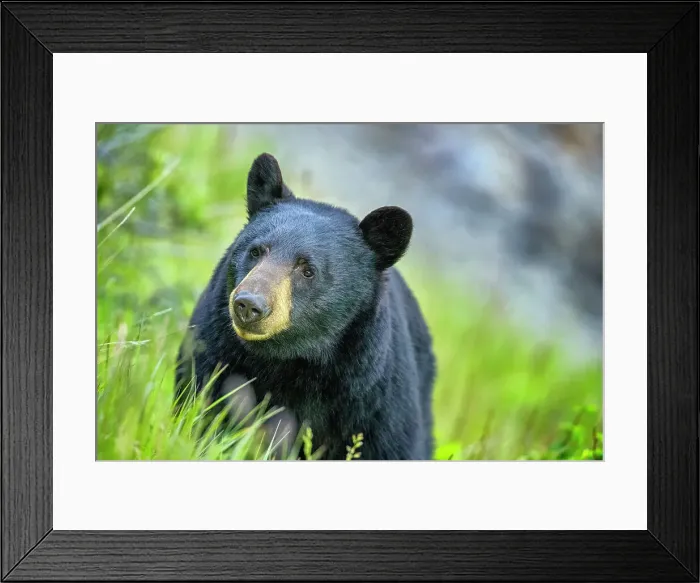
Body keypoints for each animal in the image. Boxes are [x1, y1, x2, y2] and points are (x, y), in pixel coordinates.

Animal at [175, 153, 436, 460]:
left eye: (307, 270)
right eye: (256, 251)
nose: (249, 305)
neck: (292, 359)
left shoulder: (376, 401)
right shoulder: (213, 351)